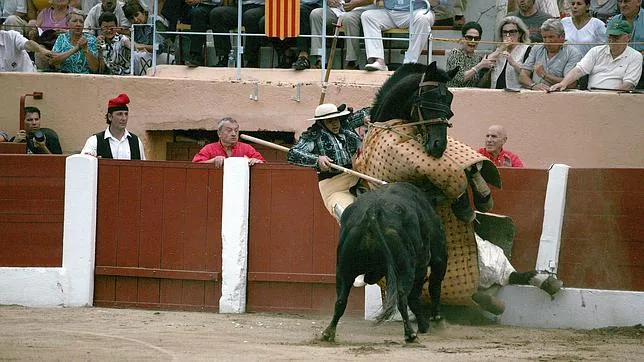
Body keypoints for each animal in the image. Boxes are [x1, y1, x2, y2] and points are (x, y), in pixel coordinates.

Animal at [322, 182, 448, 344]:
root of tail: (373, 211)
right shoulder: (437, 259)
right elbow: (431, 288)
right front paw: (434, 321)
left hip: (344, 267)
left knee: (340, 300)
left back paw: (328, 333)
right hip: (404, 269)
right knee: (402, 298)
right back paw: (410, 334)